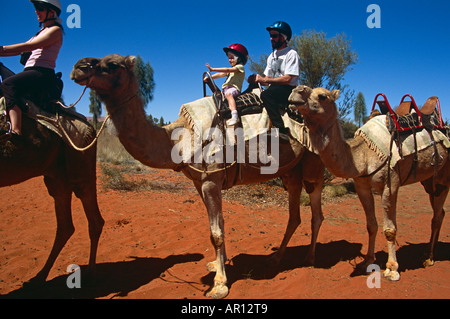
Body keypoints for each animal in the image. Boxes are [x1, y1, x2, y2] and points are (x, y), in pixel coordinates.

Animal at [0, 102, 103, 284]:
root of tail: (90, 127)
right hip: (57, 178)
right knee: (66, 226)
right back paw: (39, 276)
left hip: (80, 170)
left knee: (92, 220)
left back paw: (90, 276)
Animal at [73, 54, 326, 300]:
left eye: (113, 64)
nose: (79, 67)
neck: (180, 136)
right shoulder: (199, 182)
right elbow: (218, 225)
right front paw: (216, 265)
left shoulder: (211, 180)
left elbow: (216, 233)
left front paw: (220, 285)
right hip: (291, 171)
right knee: (294, 216)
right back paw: (275, 258)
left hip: (314, 163)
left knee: (316, 212)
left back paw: (310, 259)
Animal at [290, 85, 448, 282]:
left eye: (323, 96)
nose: (296, 92)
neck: (363, 155)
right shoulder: (362, 185)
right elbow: (371, 225)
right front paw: (367, 262)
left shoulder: (390, 184)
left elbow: (390, 229)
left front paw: (392, 269)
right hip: (430, 180)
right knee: (439, 212)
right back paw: (427, 253)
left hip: (444, 175)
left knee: (436, 216)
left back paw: (429, 258)